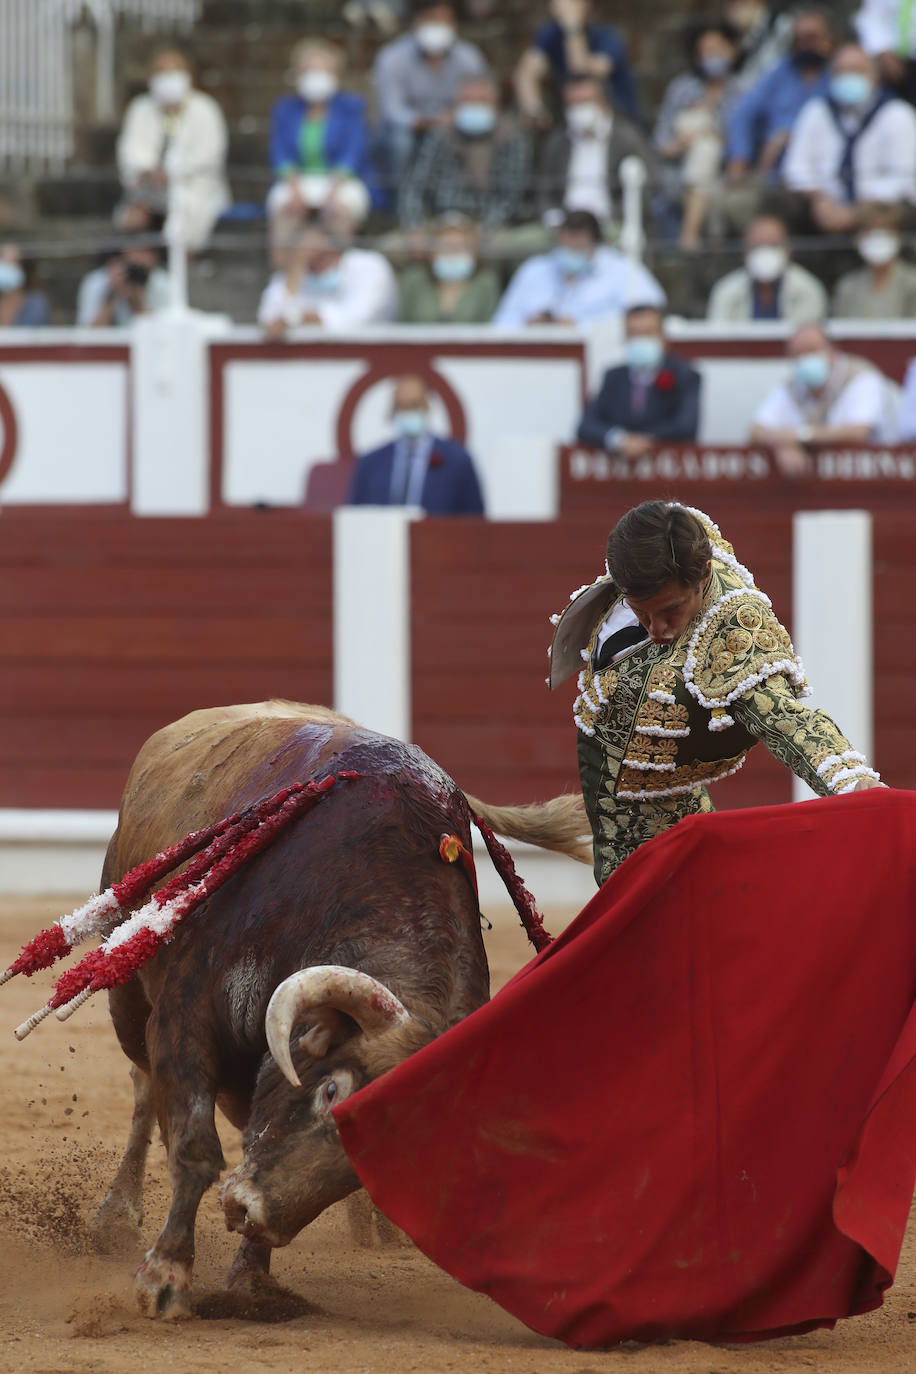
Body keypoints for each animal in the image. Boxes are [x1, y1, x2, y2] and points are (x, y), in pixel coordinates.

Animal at [75, 703, 585, 1313]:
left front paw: (253, 1278)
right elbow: (194, 1147)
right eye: (331, 1091)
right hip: (128, 992)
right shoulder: (184, 1017)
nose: (249, 1212)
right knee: (144, 1086)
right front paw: (165, 1278)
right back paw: (114, 1220)